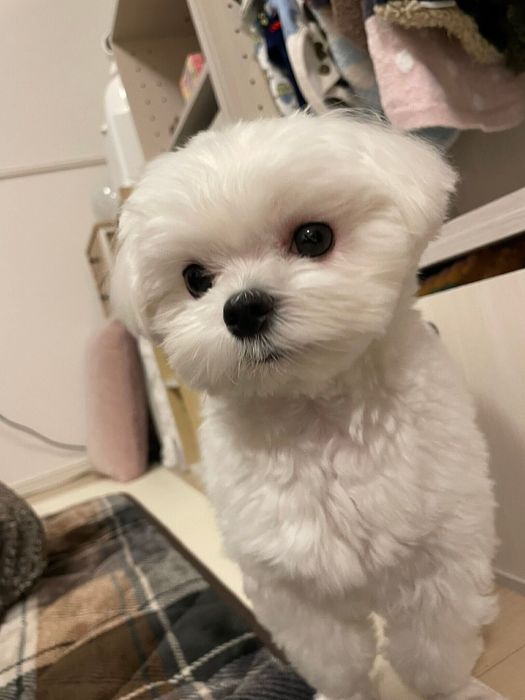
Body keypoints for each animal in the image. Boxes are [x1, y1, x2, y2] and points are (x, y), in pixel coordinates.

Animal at [111, 113, 499, 700]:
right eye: (195, 279)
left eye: (313, 237)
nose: (242, 309)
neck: (318, 418)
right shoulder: (296, 591)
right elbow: (338, 662)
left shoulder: (437, 564)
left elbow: (434, 651)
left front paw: (454, 691)